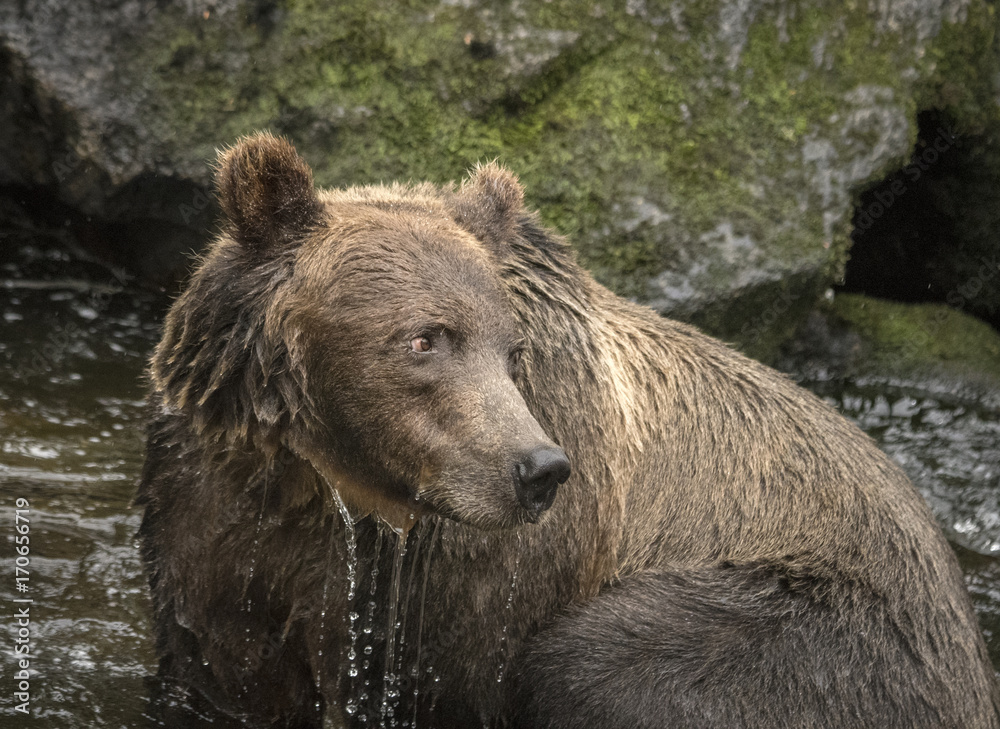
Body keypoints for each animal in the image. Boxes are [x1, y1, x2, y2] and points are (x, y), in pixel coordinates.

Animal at [136, 132, 1000, 729]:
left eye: (511, 348)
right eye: (425, 338)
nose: (537, 467)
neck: (322, 481)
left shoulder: (461, 580)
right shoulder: (216, 508)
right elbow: (220, 662)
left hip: (819, 629)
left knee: (600, 659)